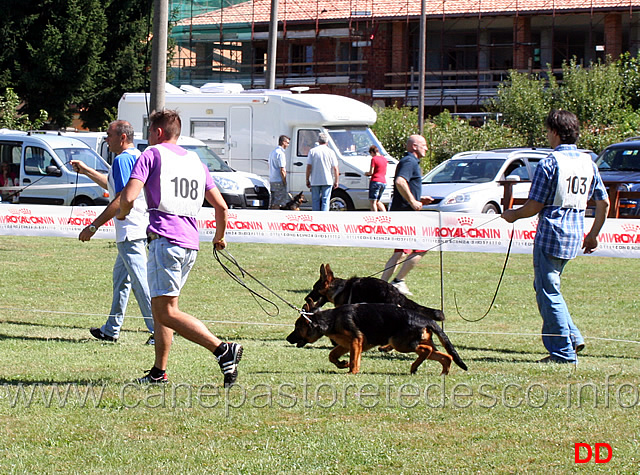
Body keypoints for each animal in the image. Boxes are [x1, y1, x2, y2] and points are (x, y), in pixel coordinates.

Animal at [288, 304, 468, 376]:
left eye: (297, 328)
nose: (288, 338)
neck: (330, 320)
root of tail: (426, 319)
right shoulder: (345, 344)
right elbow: (332, 356)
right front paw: (343, 364)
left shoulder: (355, 341)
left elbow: (354, 360)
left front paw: (351, 371)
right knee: (447, 356)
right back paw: (443, 373)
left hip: (399, 343)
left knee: (426, 350)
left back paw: (414, 367)